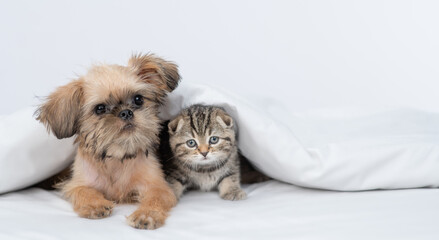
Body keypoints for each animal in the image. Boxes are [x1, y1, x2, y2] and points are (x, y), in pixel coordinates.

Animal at [35, 53, 180, 230]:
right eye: (100, 108)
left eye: (138, 99)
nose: (126, 112)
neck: (117, 158)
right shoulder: (78, 184)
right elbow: (84, 191)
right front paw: (94, 204)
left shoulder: (158, 187)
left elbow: (155, 199)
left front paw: (146, 215)